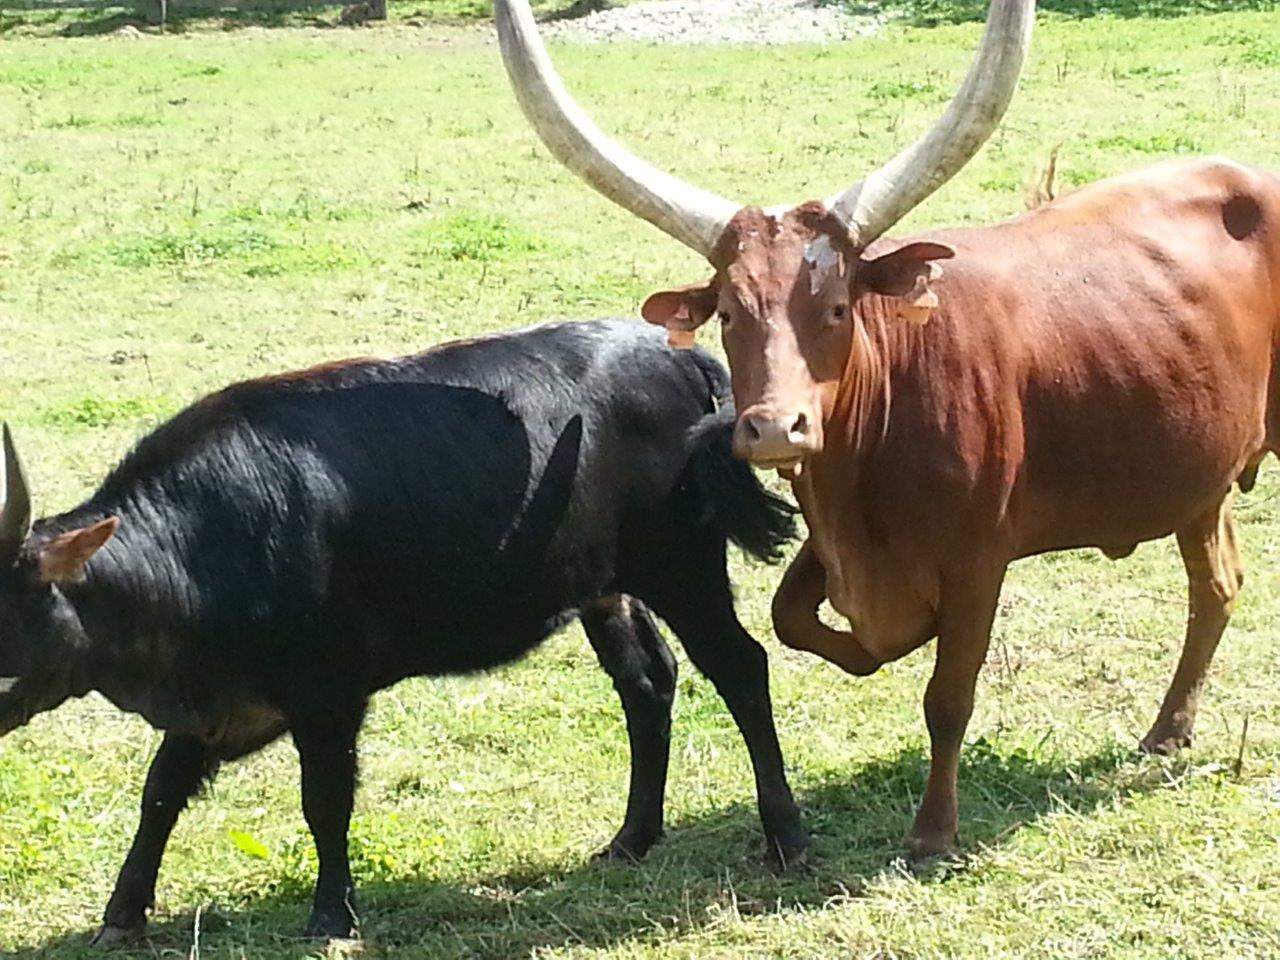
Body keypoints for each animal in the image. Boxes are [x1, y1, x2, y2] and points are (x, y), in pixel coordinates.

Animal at [0, 320, 808, 942]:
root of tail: (676, 354)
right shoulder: (214, 704)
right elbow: (160, 793)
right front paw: (122, 914)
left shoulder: (329, 692)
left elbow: (324, 800)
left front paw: (332, 915)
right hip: (605, 586)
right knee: (647, 682)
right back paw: (632, 838)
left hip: (681, 564)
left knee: (740, 668)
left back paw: (786, 836)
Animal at [488, 0, 1269, 865]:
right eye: (729, 313)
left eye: (837, 308)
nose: (774, 427)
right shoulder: (832, 539)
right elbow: (792, 619)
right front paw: (874, 647)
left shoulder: (979, 559)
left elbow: (947, 696)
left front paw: (933, 833)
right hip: (1199, 477)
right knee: (1217, 583)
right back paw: (1169, 730)